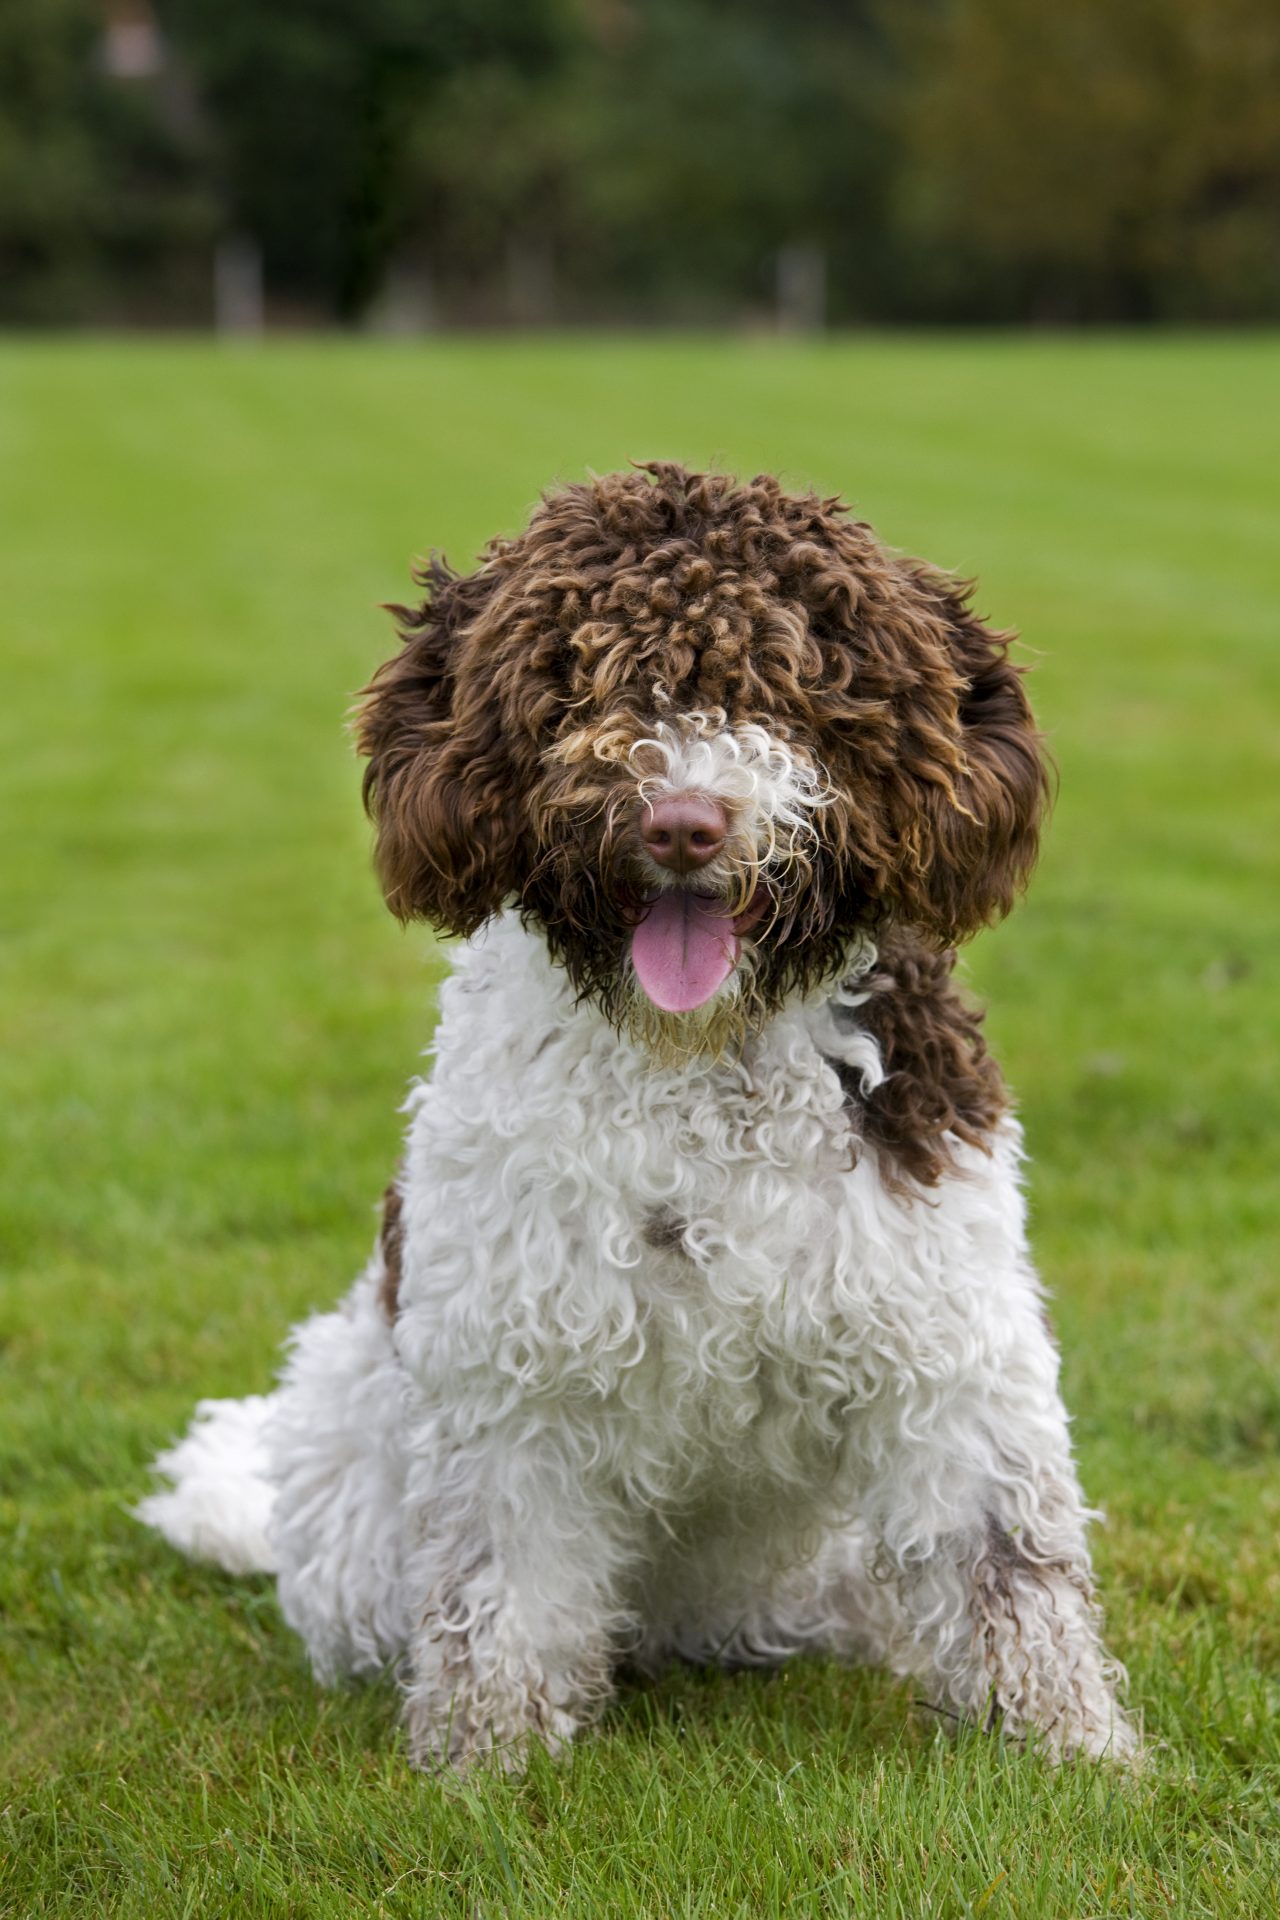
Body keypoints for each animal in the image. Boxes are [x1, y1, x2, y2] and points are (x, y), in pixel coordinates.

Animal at [142, 460, 1143, 1766]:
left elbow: (1002, 1560)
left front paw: (1065, 1749)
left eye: (782, 686)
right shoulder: (513, 1372)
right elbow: (499, 1590)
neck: (698, 1059)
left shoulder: (943, 1338)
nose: (680, 822)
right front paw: (490, 1762)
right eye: (582, 681)